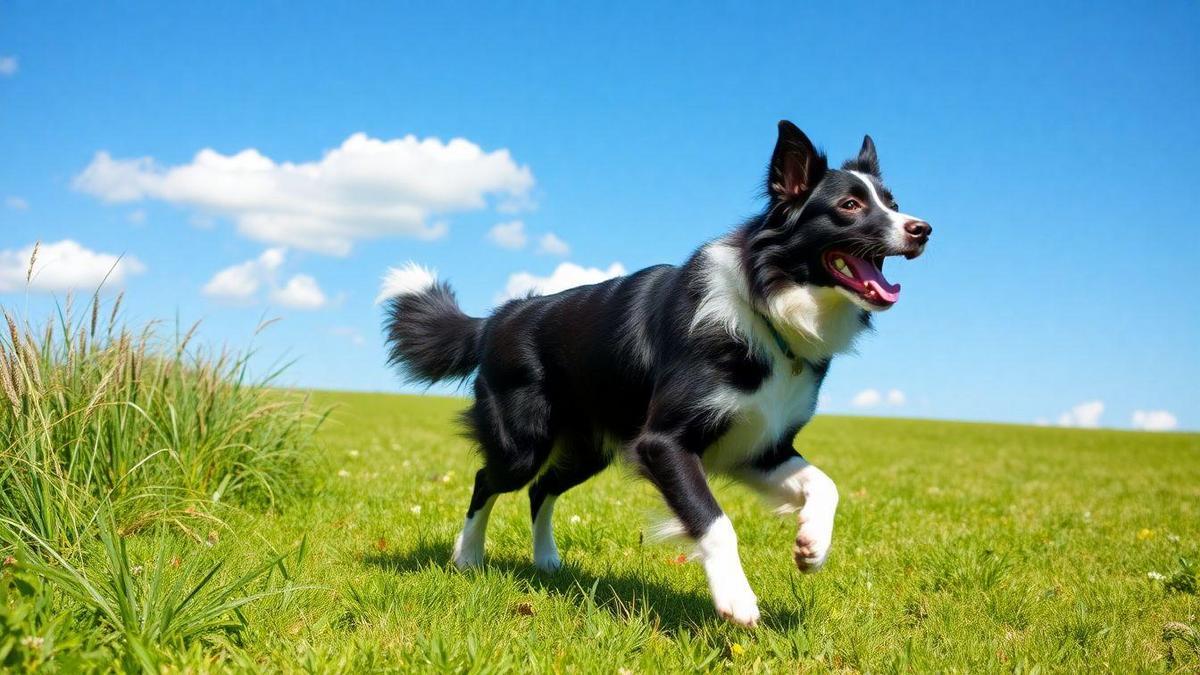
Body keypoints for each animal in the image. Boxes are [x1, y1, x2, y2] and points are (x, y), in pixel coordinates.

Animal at [379, 121, 931, 624]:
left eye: (893, 202)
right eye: (849, 206)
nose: (923, 229)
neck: (767, 307)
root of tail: (495, 319)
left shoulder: (758, 445)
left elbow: (826, 483)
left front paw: (812, 544)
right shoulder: (662, 442)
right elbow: (714, 520)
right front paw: (737, 601)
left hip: (591, 447)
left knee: (541, 489)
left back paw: (548, 562)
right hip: (524, 442)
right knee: (486, 480)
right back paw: (468, 557)